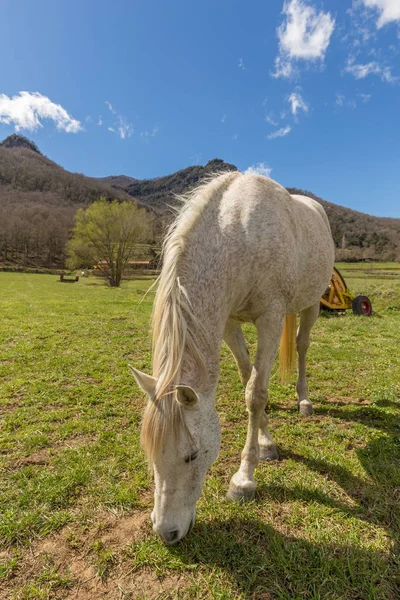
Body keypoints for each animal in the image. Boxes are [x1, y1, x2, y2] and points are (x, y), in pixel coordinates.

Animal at [131, 172, 334, 544]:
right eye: (150, 453)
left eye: (192, 455)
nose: (166, 532)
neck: (237, 232)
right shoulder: (227, 323)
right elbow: (247, 378)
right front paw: (266, 443)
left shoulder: (270, 318)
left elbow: (256, 393)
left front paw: (244, 480)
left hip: (311, 303)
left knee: (302, 345)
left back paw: (304, 399)